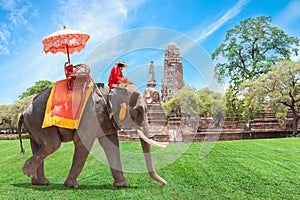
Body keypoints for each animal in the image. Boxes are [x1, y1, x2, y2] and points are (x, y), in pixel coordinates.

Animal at [17, 82, 168, 188]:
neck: (111, 90)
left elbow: (111, 145)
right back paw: (27, 173)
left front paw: (123, 185)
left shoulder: (105, 118)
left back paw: (39, 182)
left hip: (33, 124)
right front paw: (72, 185)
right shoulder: (93, 114)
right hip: (38, 121)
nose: (165, 183)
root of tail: (23, 112)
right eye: (138, 110)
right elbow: (82, 142)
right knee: (52, 144)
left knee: (38, 146)